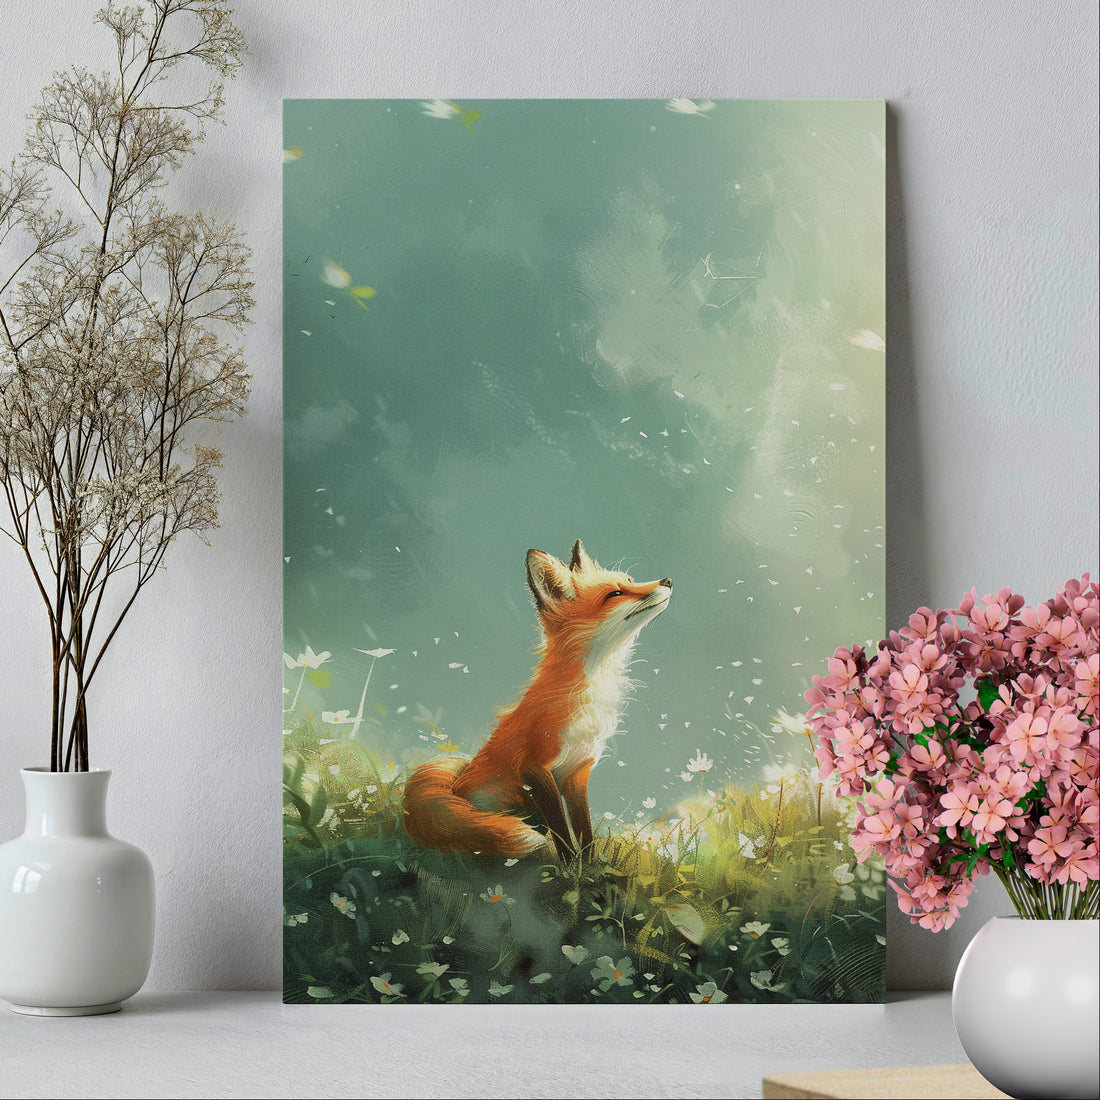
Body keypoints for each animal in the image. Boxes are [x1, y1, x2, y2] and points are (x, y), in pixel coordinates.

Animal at [402, 540, 672, 861]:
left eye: (630, 580)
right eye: (615, 594)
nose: (668, 581)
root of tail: (454, 785)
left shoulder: (578, 769)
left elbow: (584, 830)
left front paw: (589, 865)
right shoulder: (534, 768)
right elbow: (562, 830)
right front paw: (569, 866)